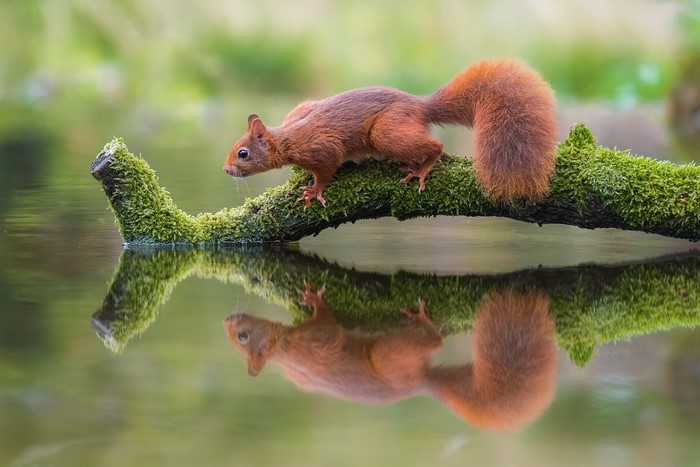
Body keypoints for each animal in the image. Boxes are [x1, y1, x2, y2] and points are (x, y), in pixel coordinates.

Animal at [222, 284, 557, 431]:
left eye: (243, 337)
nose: (227, 320)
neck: (285, 348)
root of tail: (421, 383)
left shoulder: (316, 342)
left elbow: (326, 323)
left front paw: (313, 299)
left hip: (387, 356)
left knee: (433, 343)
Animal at [223, 59, 557, 207]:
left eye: (243, 153)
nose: (226, 170)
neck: (288, 137)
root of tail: (420, 105)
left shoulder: (321, 148)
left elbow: (327, 169)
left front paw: (314, 190)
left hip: (387, 132)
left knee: (437, 145)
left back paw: (422, 169)